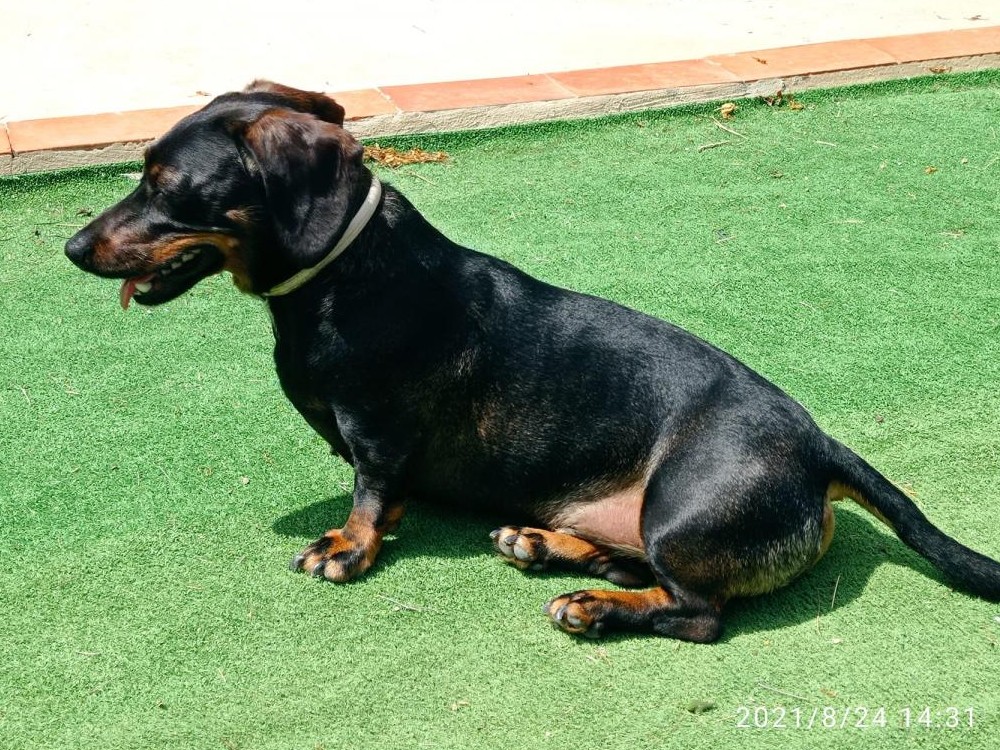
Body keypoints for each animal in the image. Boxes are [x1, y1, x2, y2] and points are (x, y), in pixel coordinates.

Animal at [65, 81, 1000, 642]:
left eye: (166, 185)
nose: (72, 248)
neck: (345, 273)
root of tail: (823, 448)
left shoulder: (378, 436)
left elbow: (372, 493)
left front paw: (348, 546)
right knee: (641, 567)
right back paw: (549, 546)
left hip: (681, 513)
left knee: (696, 613)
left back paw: (592, 605)